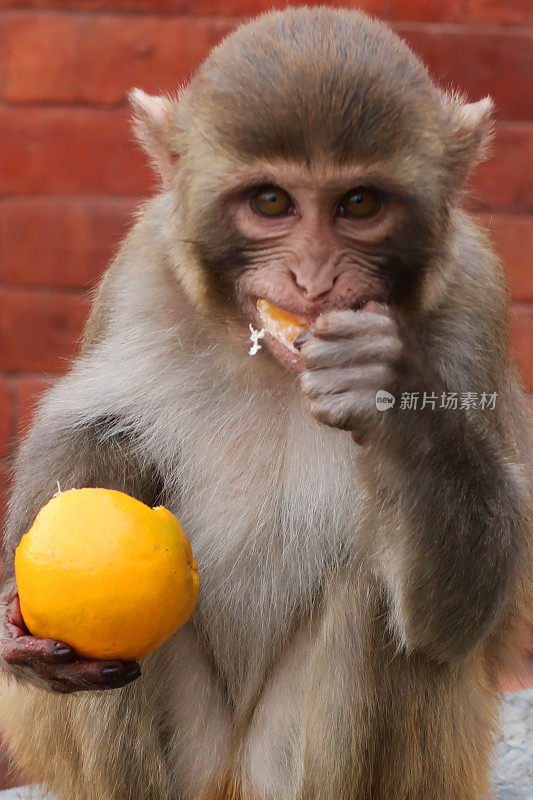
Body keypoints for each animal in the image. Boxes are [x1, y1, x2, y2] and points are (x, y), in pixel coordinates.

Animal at [0, 6, 528, 800]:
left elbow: (463, 612)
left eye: (359, 204)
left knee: (373, 598)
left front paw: (385, 391)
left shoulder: (474, 294)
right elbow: (94, 428)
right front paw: (15, 608)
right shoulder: (139, 270)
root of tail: (230, 781)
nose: (313, 280)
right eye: (271, 201)